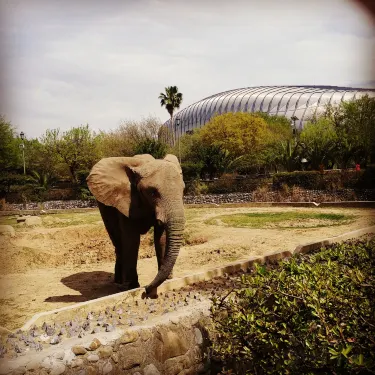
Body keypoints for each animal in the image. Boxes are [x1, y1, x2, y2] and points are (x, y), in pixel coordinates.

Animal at [88, 154, 188, 298]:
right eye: (152, 192)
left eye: (183, 190)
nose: (147, 289)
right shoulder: (125, 202)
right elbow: (132, 240)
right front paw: (132, 286)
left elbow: (161, 237)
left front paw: (169, 279)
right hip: (104, 206)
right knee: (118, 242)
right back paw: (119, 283)